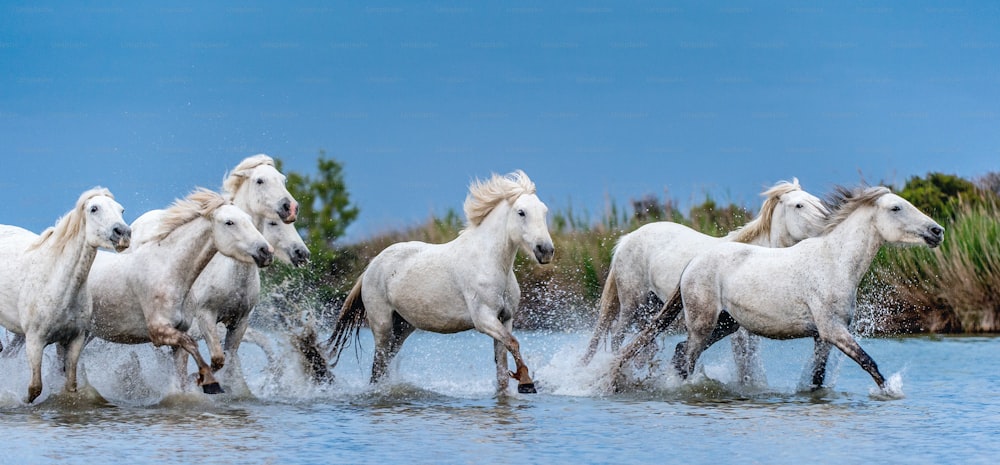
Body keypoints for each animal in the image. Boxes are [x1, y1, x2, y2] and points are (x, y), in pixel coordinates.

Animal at [0, 188, 131, 402]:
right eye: (94, 208)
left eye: (121, 210)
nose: (123, 233)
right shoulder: (35, 341)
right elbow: (35, 388)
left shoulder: (74, 340)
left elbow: (70, 385)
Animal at [86, 188, 272, 392]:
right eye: (229, 222)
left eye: (249, 219)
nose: (265, 251)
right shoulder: (170, 327)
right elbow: (204, 351)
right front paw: (207, 381)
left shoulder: (232, 322)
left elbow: (211, 362)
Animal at [324, 170, 556, 392]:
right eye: (521, 212)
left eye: (544, 211)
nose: (545, 250)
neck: (491, 263)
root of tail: (371, 265)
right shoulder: (484, 319)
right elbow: (514, 343)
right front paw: (527, 383)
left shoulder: (505, 319)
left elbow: (503, 363)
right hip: (382, 324)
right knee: (378, 366)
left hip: (402, 326)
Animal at [580, 179, 828, 382]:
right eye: (799, 205)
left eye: (817, 201)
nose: (826, 227)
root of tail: (627, 239)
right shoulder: (739, 332)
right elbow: (744, 364)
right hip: (632, 301)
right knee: (617, 334)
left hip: (652, 305)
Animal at [628, 186, 940, 392]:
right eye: (896, 208)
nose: (937, 231)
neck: (834, 262)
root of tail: (693, 262)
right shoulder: (833, 330)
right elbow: (868, 363)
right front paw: (891, 392)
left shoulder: (822, 338)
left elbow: (817, 379)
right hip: (702, 323)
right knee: (686, 359)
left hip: (726, 324)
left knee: (680, 350)